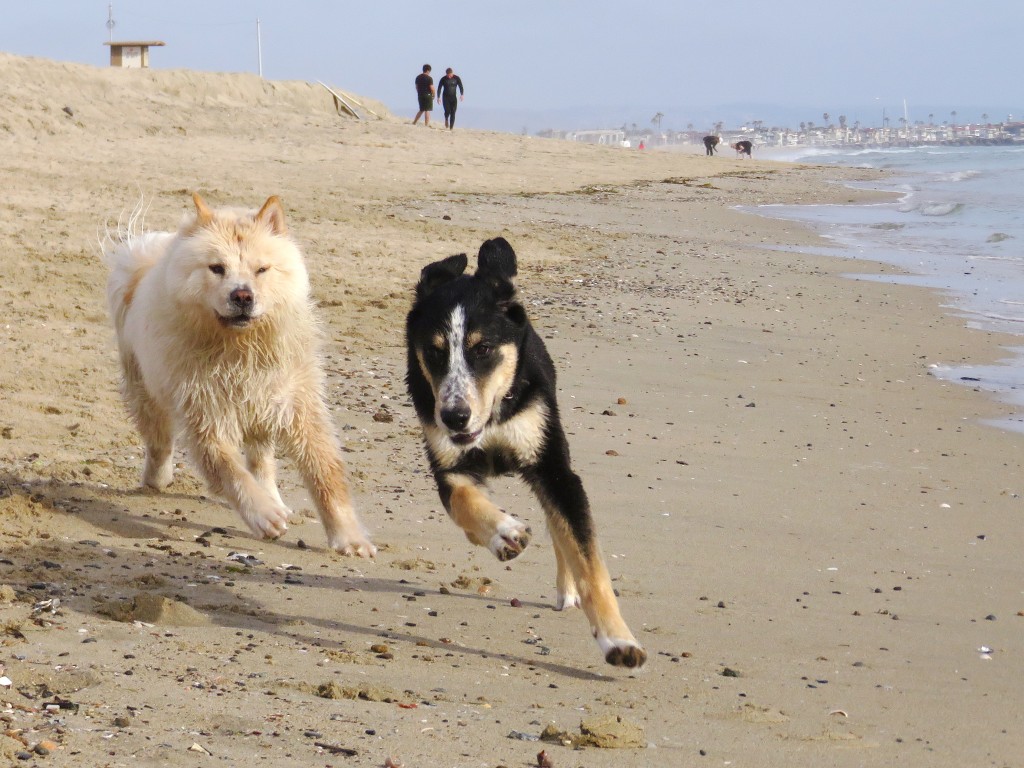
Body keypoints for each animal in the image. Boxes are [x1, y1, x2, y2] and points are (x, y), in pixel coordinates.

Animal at [104, 193, 376, 561]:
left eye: (262, 270)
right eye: (217, 268)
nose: (243, 295)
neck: (240, 350)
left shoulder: (298, 408)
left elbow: (326, 478)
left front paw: (350, 539)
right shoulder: (205, 415)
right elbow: (231, 471)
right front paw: (264, 516)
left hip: (261, 411)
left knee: (262, 461)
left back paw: (274, 496)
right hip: (145, 389)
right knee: (159, 441)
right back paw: (156, 480)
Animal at [403, 239, 643, 667]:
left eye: (483, 348)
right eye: (433, 352)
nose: (454, 417)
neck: (494, 417)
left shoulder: (554, 470)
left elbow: (589, 561)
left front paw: (619, 640)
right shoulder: (447, 468)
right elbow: (466, 501)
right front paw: (505, 532)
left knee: (559, 527)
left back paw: (568, 590)